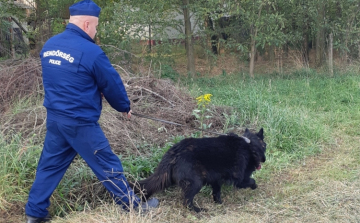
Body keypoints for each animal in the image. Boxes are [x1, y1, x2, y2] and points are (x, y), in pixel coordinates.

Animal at [134, 128, 266, 212]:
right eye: (265, 147)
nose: (264, 160)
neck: (249, 146)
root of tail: (174, 151)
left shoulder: (216, 179)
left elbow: (216, 193)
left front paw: (219, 203)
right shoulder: (238, 179)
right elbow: (252, 181)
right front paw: (254, 186)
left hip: (167, 178)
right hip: (195, 183)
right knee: (187, 202)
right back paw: (198, 210)